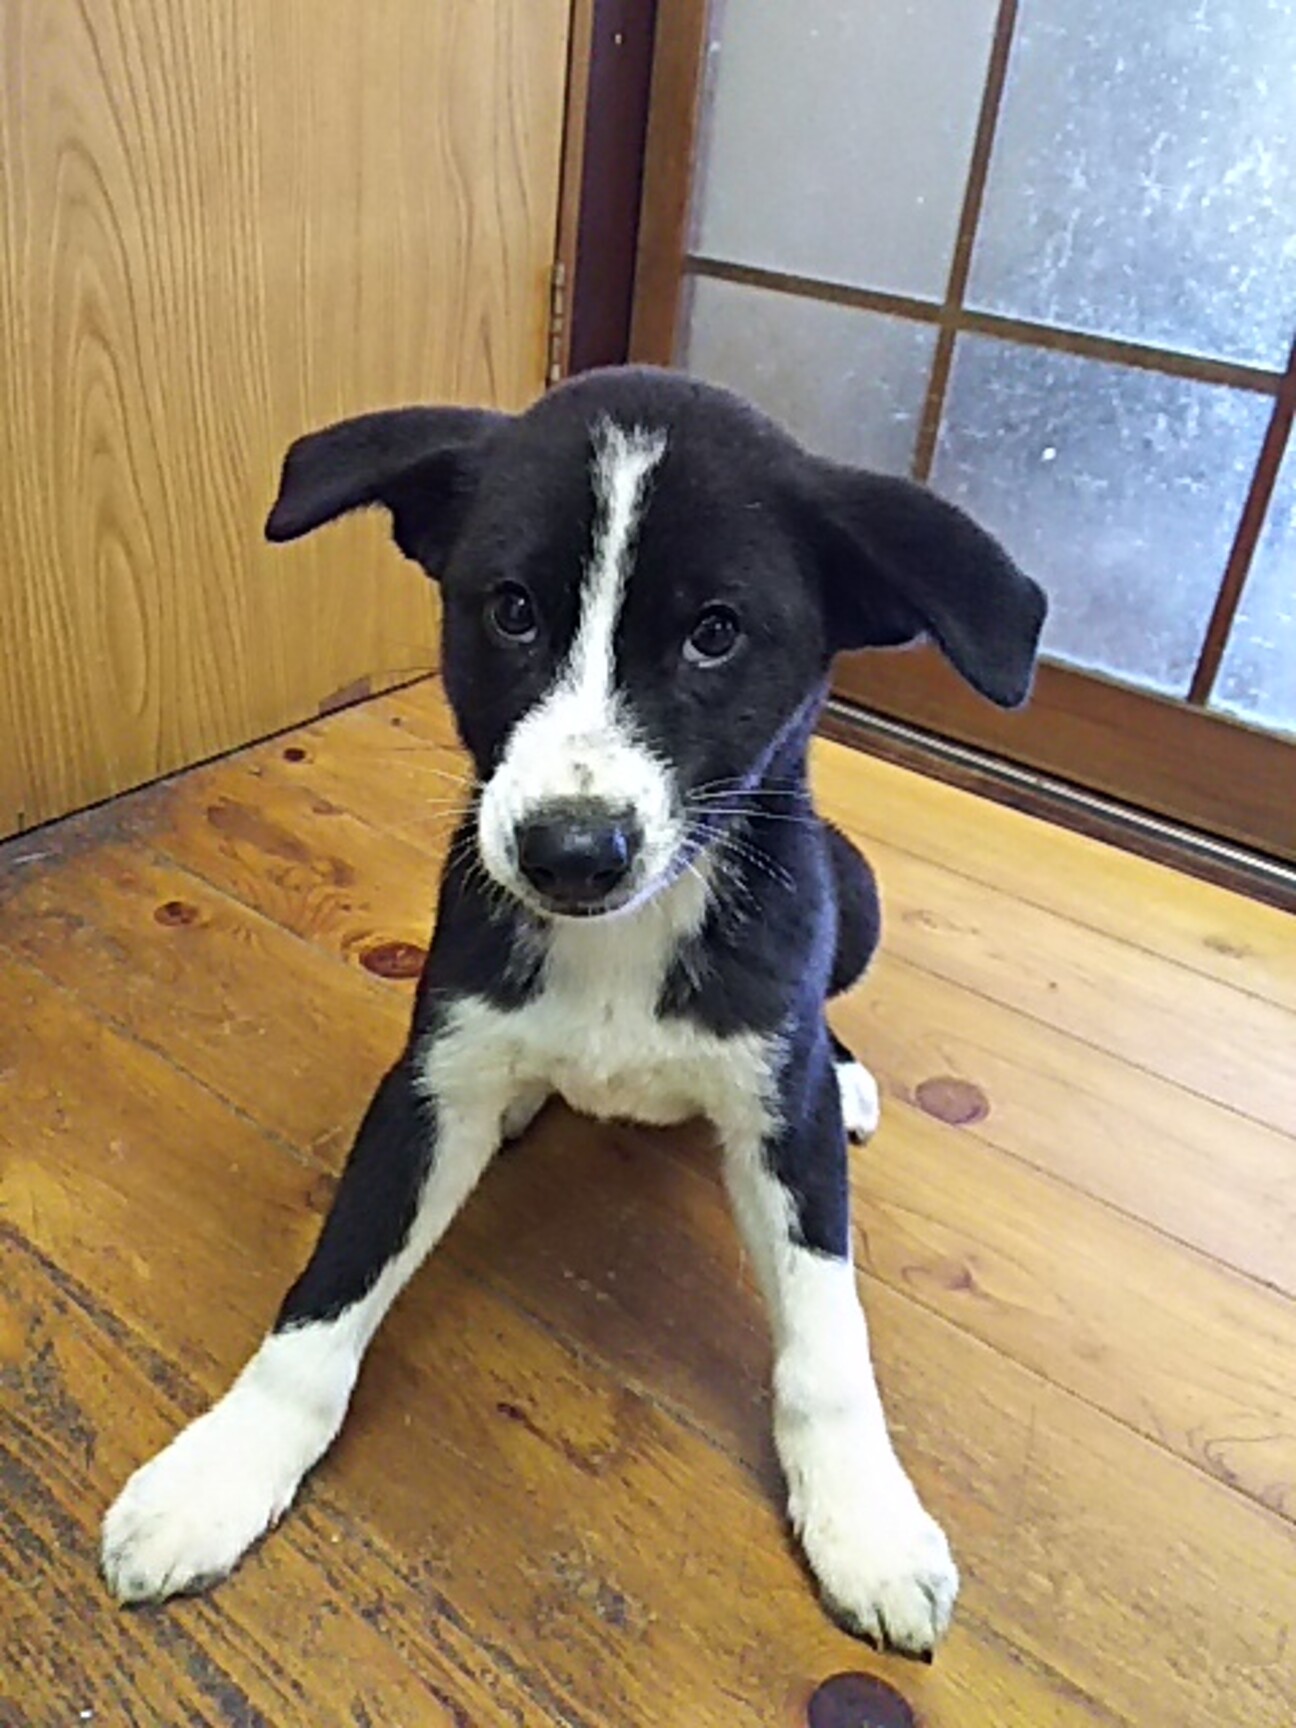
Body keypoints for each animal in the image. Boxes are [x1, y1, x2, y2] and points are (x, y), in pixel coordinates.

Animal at [101, 366, 1045, 1656]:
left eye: (715, 632)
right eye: (509, 610)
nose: (571, 853)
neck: (621, 941)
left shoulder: (779, 1125)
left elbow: (827, 1335)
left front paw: (868, 1520)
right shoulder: (433, 1076)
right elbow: (330, 1285)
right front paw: (220, 1471)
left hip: (852, 887)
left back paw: (844, 1068)